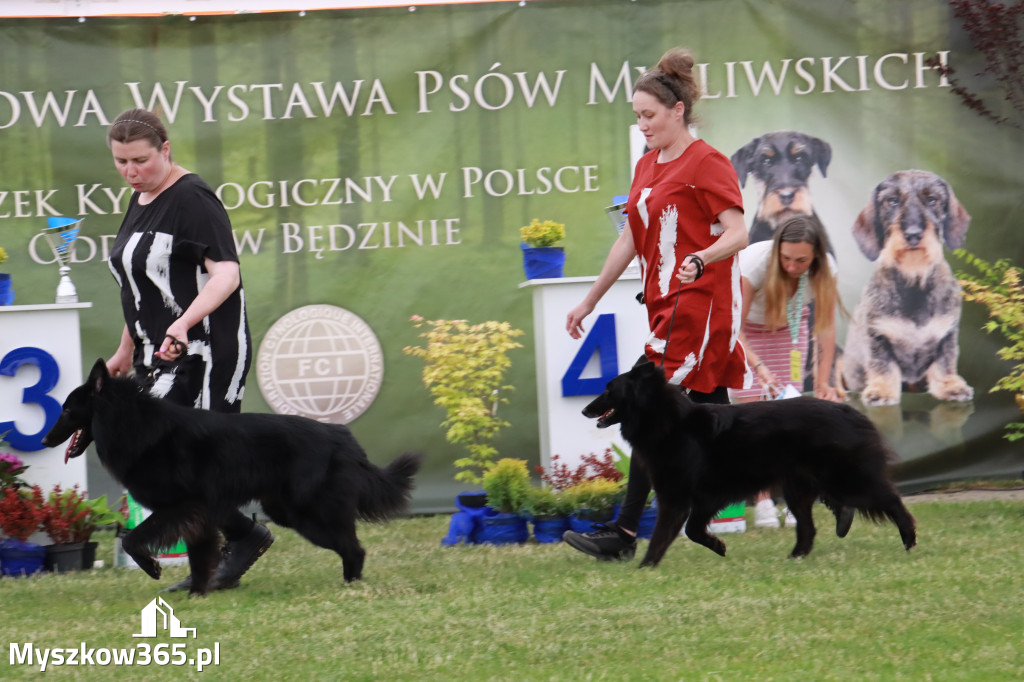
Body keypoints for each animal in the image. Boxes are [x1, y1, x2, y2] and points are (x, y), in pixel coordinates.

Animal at [41, 358, 421, 593]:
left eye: (67, 410)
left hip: (310, 514)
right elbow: (200, 556)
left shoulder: (182, 507)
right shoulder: (199, 513)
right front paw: (197, 593)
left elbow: (133, 539)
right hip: (291, 513)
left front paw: (153, 567)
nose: (44, 440)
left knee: (354, 548)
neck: (135, 424)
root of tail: (343, 436)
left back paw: (351, 586)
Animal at [585, 360, 921, 561]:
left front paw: (646, 566)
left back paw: (909, 539)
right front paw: (718, 546)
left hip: (846, 478)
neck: (667, 421)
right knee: (809, 528)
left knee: (891, 500)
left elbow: (662, 536)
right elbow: (693, 530)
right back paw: (796, 557)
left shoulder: (677, 497)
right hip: (799, 489)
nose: (585, 410)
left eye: (608, 389)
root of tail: (851, 411)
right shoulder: (704, 498)